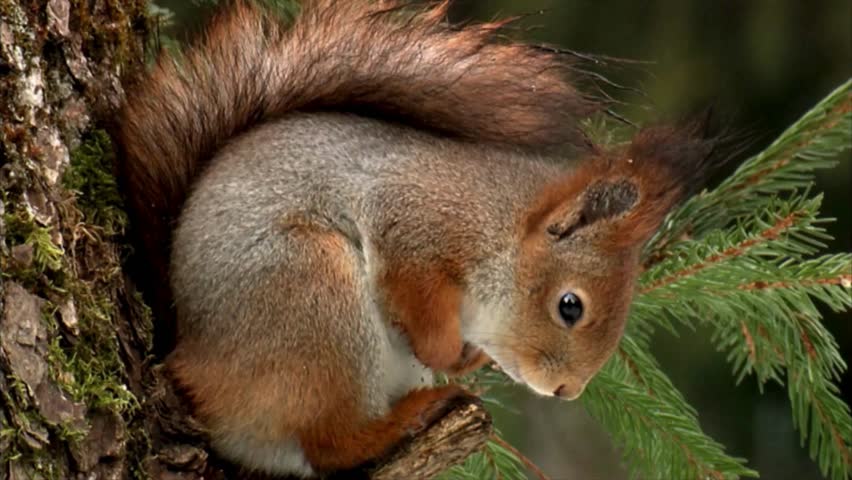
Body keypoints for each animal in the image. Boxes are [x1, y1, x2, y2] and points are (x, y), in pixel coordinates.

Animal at [113, 0, 723, 477]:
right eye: (570, 306)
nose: (566, 391)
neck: (497, 223)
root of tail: (192, 361)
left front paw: (470, 357)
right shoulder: (412, 226)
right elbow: (414, 300)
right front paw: (449, 354)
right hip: (311, 297)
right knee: (331, 444)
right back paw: (410, 416)